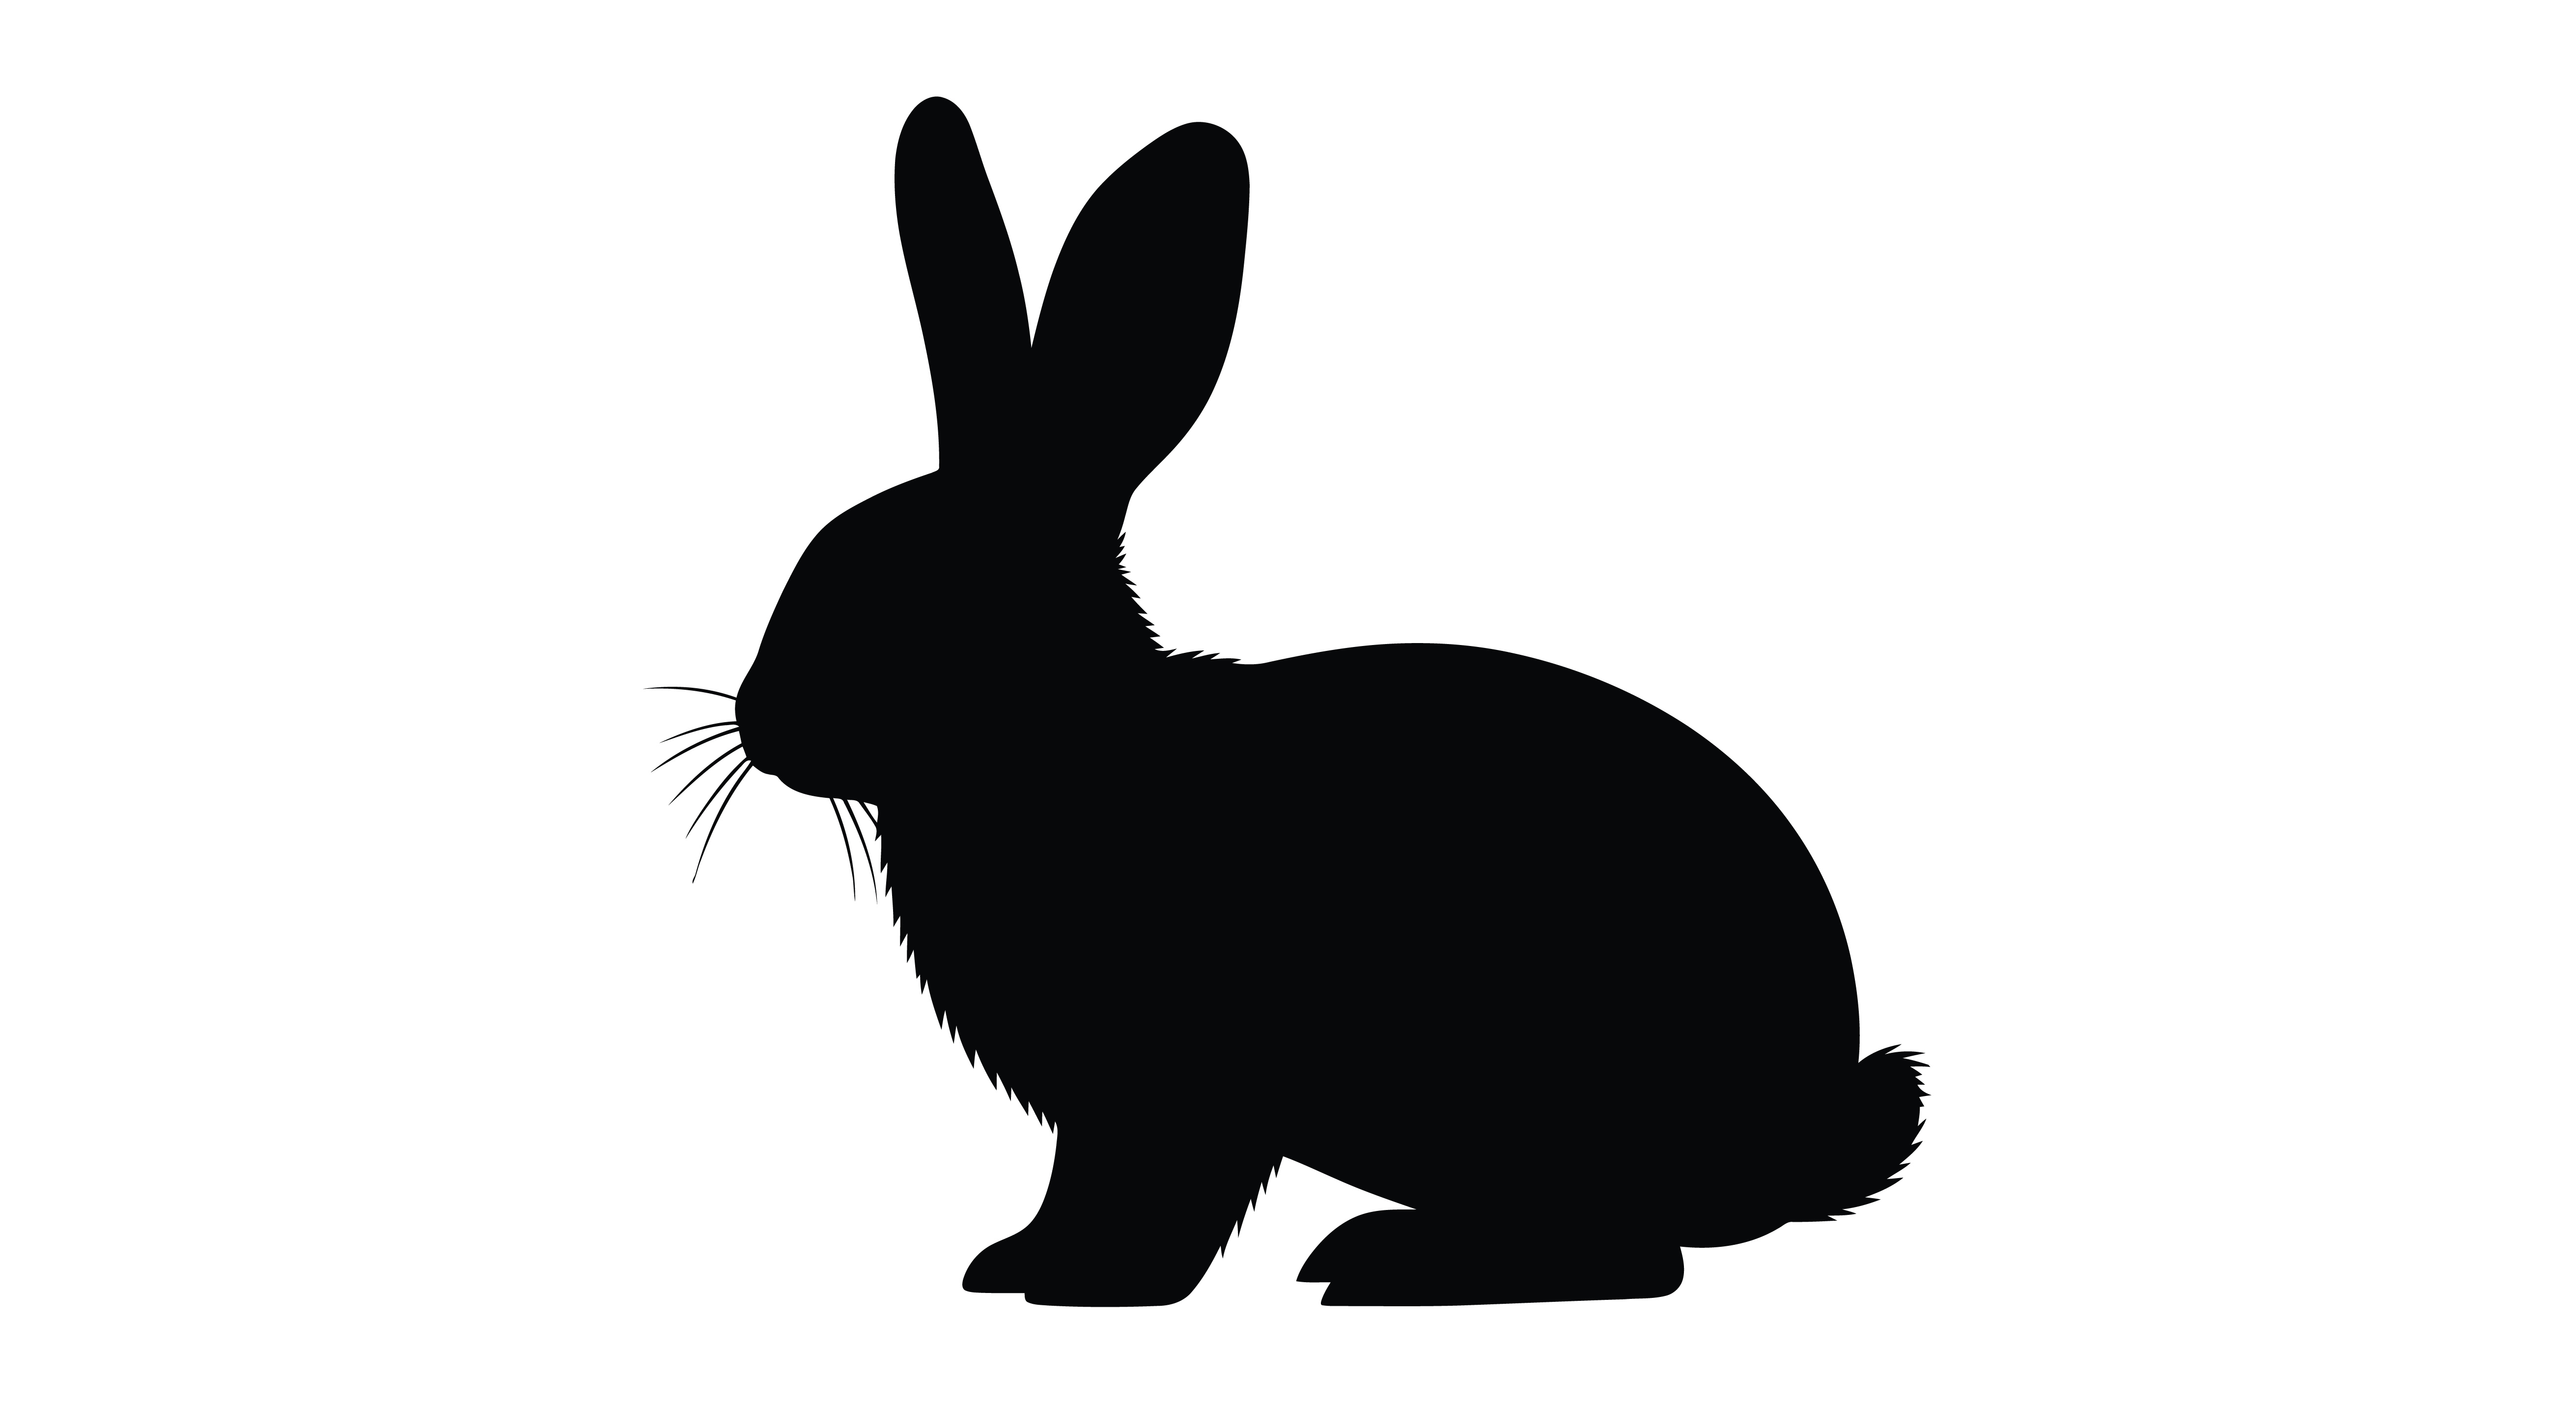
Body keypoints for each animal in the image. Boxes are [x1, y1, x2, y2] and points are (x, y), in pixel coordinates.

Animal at [690, 96, 1923, 1307]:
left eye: (915, 598)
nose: (760, 721)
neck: (1063, 750)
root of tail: (1795, 1131)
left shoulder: (1169, 1080)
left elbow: (1155, 1186)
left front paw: (1088, 1282)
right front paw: (1019, 1261)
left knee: (1630, 1252)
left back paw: (1399, 1266)